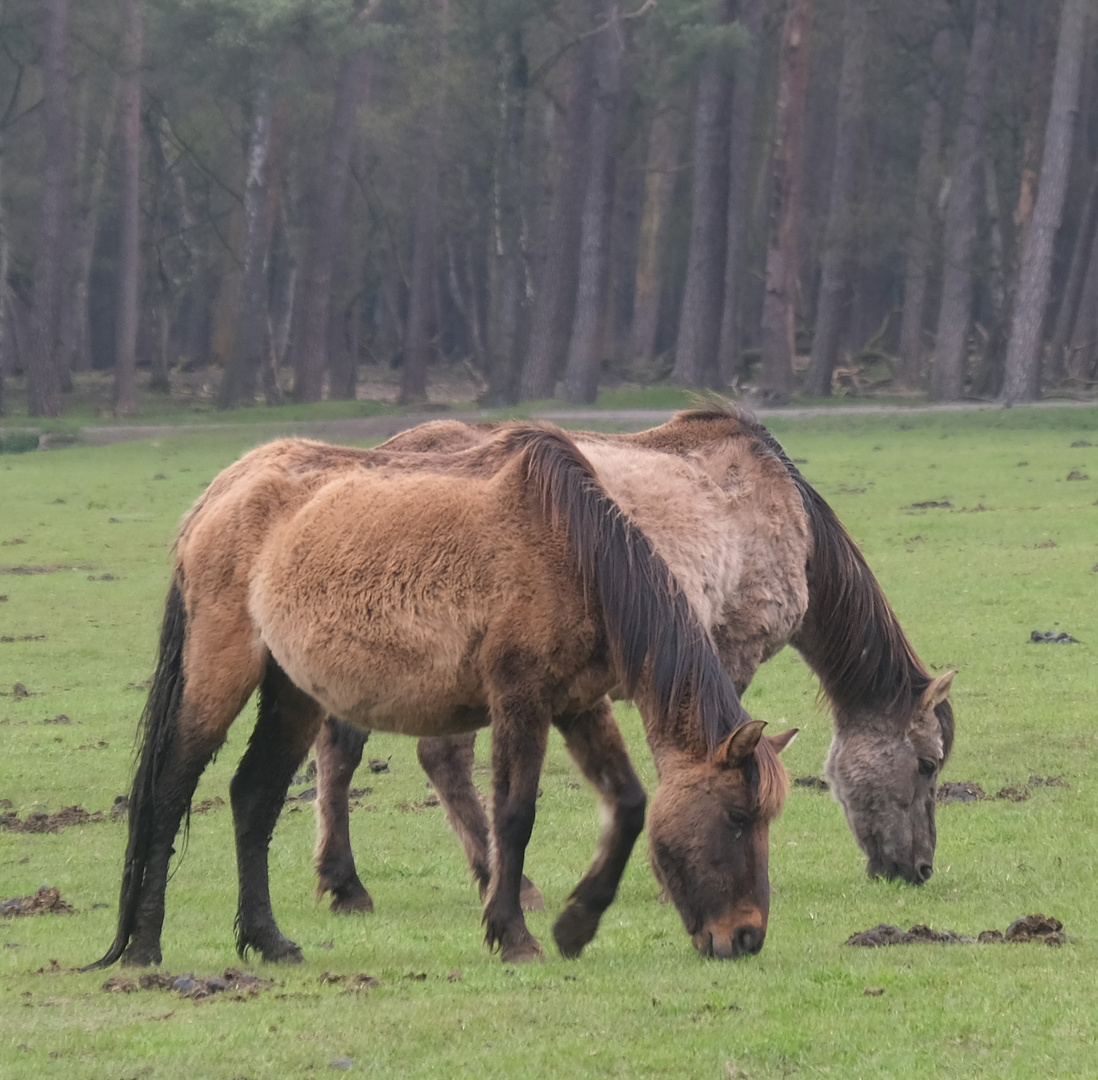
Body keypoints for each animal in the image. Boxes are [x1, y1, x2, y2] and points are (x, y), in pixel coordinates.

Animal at [85, 423, 790, 970]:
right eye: (737, 817)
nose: (747, 937)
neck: (572, 549)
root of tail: (223, 488)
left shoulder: (579, 703)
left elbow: (631, 803)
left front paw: (575, 924)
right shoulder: (520, 700)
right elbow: (514, 816)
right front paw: (513, 936)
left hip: (293, 694)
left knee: (253, 797)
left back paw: (269, 941)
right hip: (220, 671)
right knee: (170, 790)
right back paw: (144, 948)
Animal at [305, 403, 957, 913]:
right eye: (928, 765)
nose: (920, 869)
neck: (781, 508)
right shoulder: (729, 651)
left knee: (345, 751)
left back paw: (348, 884)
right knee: (435, 757)